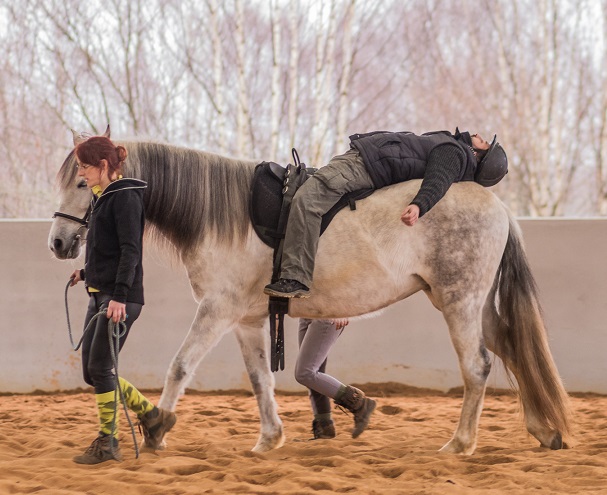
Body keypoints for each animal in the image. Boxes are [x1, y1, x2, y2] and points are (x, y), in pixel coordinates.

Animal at [48, 129, 576, 458]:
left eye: (84, 182)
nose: (59, 243)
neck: (222, 215)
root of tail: (498, 207)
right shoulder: (246, 320)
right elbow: (260, 379)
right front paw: (269, 439)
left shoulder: (216, 310)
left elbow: (180, 366)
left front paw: (157, 428)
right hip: (475, 304)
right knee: (511, 351)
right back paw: (543, 430)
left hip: (459, 302)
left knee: (478, 367)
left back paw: (461, 444)